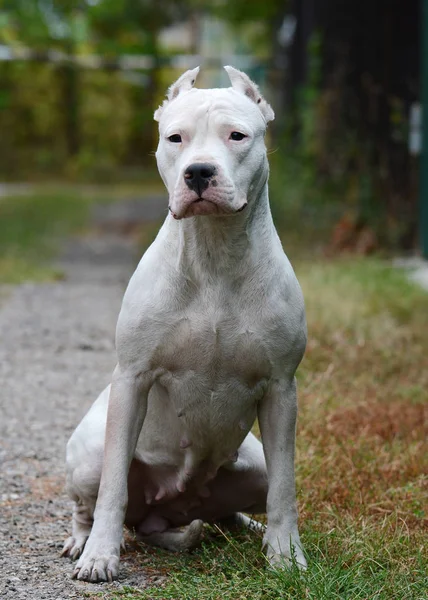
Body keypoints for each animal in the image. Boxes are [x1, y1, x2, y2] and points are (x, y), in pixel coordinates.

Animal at [61, 65, 308, 580]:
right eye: (175, 138)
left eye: (237, 136)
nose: (198, 171)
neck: (214, 253)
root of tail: (171, 505)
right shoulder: (132, 379)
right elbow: (113, 487)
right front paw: (100, 555)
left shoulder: (281, 388)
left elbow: (285, 486)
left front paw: (286, 554)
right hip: (89, 455)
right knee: (90, 503)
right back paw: (83, 540)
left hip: (250, 464)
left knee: (227, 510)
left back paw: (244, 530)